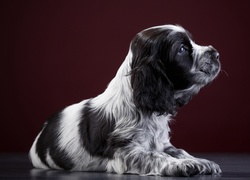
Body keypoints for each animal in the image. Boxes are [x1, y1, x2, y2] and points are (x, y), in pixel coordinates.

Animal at [29, 24, 223, 176]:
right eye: (182, 49)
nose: (216, 53)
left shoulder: (162, 143)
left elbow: (179, 150)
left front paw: (200, 161)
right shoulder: (124, 151)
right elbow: (154, 155)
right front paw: (182, 165)